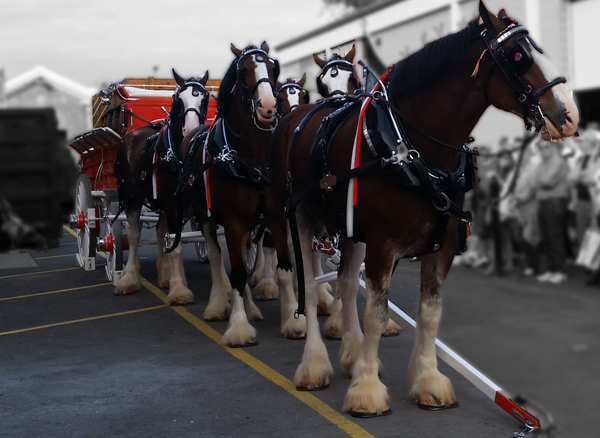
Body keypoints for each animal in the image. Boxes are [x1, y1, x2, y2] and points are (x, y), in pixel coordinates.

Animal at [268, 0, 576, 416]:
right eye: (517, 55)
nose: (569, 114)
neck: (411, 148)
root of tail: (297, 119)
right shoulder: (383, 245)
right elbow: (377, 312)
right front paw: (367, 390)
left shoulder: (442, 244)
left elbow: (429, 312)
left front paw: (427, 380)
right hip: (298, 217)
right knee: (311, 289)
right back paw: (314, 363)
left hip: (350, 230)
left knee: (346, 283)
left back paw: (350, 352)